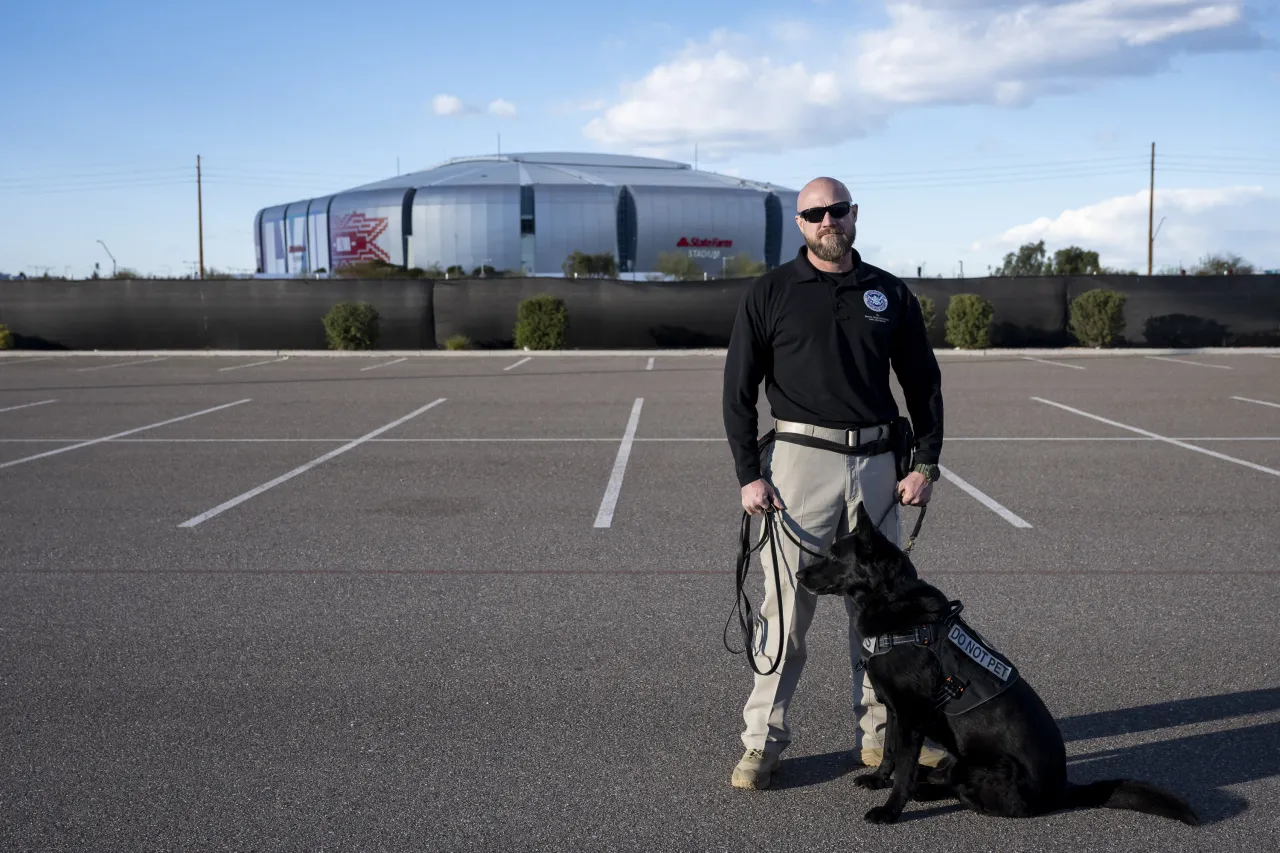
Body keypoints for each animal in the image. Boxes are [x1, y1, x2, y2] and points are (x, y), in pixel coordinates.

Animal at [793, 502, 1192, 819]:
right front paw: (878, 780)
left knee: (961, 791)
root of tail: (1062, 789)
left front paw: (891, 810)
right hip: (958, 758)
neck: (893, 602)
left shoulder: (911, 715)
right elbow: (890, 751)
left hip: (979, 767)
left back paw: (925, 788)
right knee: (944, 774)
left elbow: (902, 767)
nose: (798, 573)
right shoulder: (895, 710)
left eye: (833, 555)